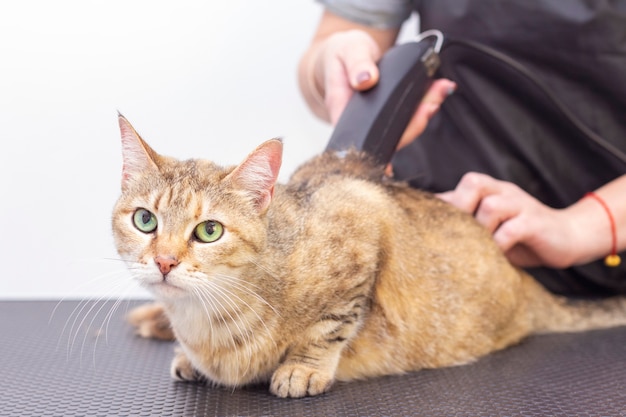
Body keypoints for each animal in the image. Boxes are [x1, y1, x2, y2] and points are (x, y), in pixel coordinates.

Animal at [113, 114, 624, 396]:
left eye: (209, 231)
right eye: (145, 221)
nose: (164, 262)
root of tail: (525, 283)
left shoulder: (362, 216)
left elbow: (330, 325)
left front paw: (303, 367)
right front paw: (183, 352)